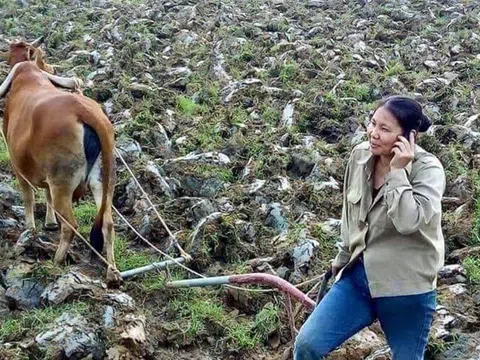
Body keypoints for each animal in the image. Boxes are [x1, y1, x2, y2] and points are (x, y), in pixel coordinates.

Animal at [0, 38, 119, 282]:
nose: (53, 70)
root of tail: (85, 111)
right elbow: (45, 195)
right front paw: (49, 222)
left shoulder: (18, 167)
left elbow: (28, 198)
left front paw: (30, 230)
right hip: (104, 180)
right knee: (108, 224)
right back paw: (112, 272)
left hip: (62, 183)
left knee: (71, 225)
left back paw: (57, 260)